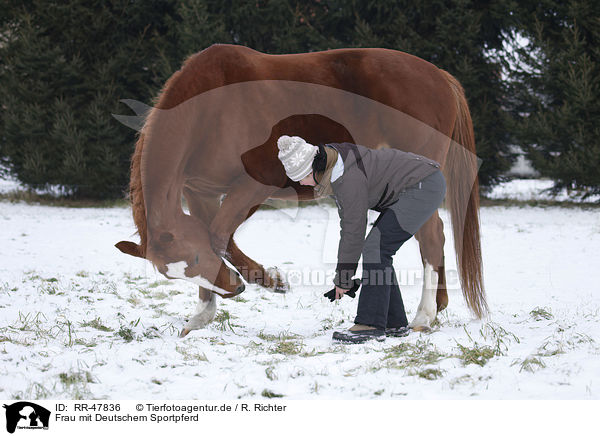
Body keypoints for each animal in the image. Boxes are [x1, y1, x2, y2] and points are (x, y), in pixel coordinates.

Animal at [115, 45, 486, 338]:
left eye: (192, 260)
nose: (233, 289)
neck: (213, 107)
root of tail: (439, 76)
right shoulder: (201, 193)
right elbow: (216, 237)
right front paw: (211, 309)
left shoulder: (254, 186)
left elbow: (218, 236)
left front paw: (264, 281)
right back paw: (437, 307)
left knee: (432, 236)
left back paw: (423, 315)